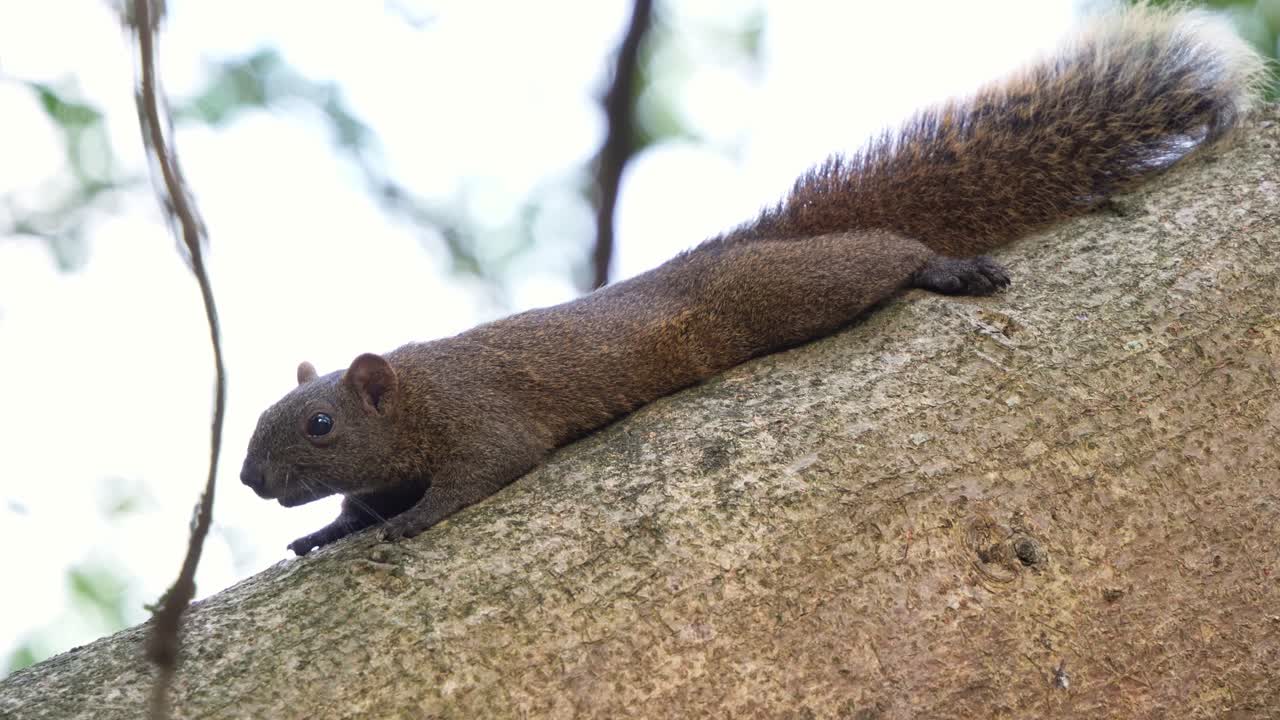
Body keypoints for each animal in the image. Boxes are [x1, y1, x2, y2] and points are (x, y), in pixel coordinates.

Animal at [241, 6, 1264, 556]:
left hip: (781, 292)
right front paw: (331, 528)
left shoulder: (482, 417)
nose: (249, 479)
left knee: (877, 257)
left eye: (320, 423)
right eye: (262, 420)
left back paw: (941, 263)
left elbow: (483, 471)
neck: (414, 396)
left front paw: (411, 524)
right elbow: (363, 502)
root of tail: (733, 251)